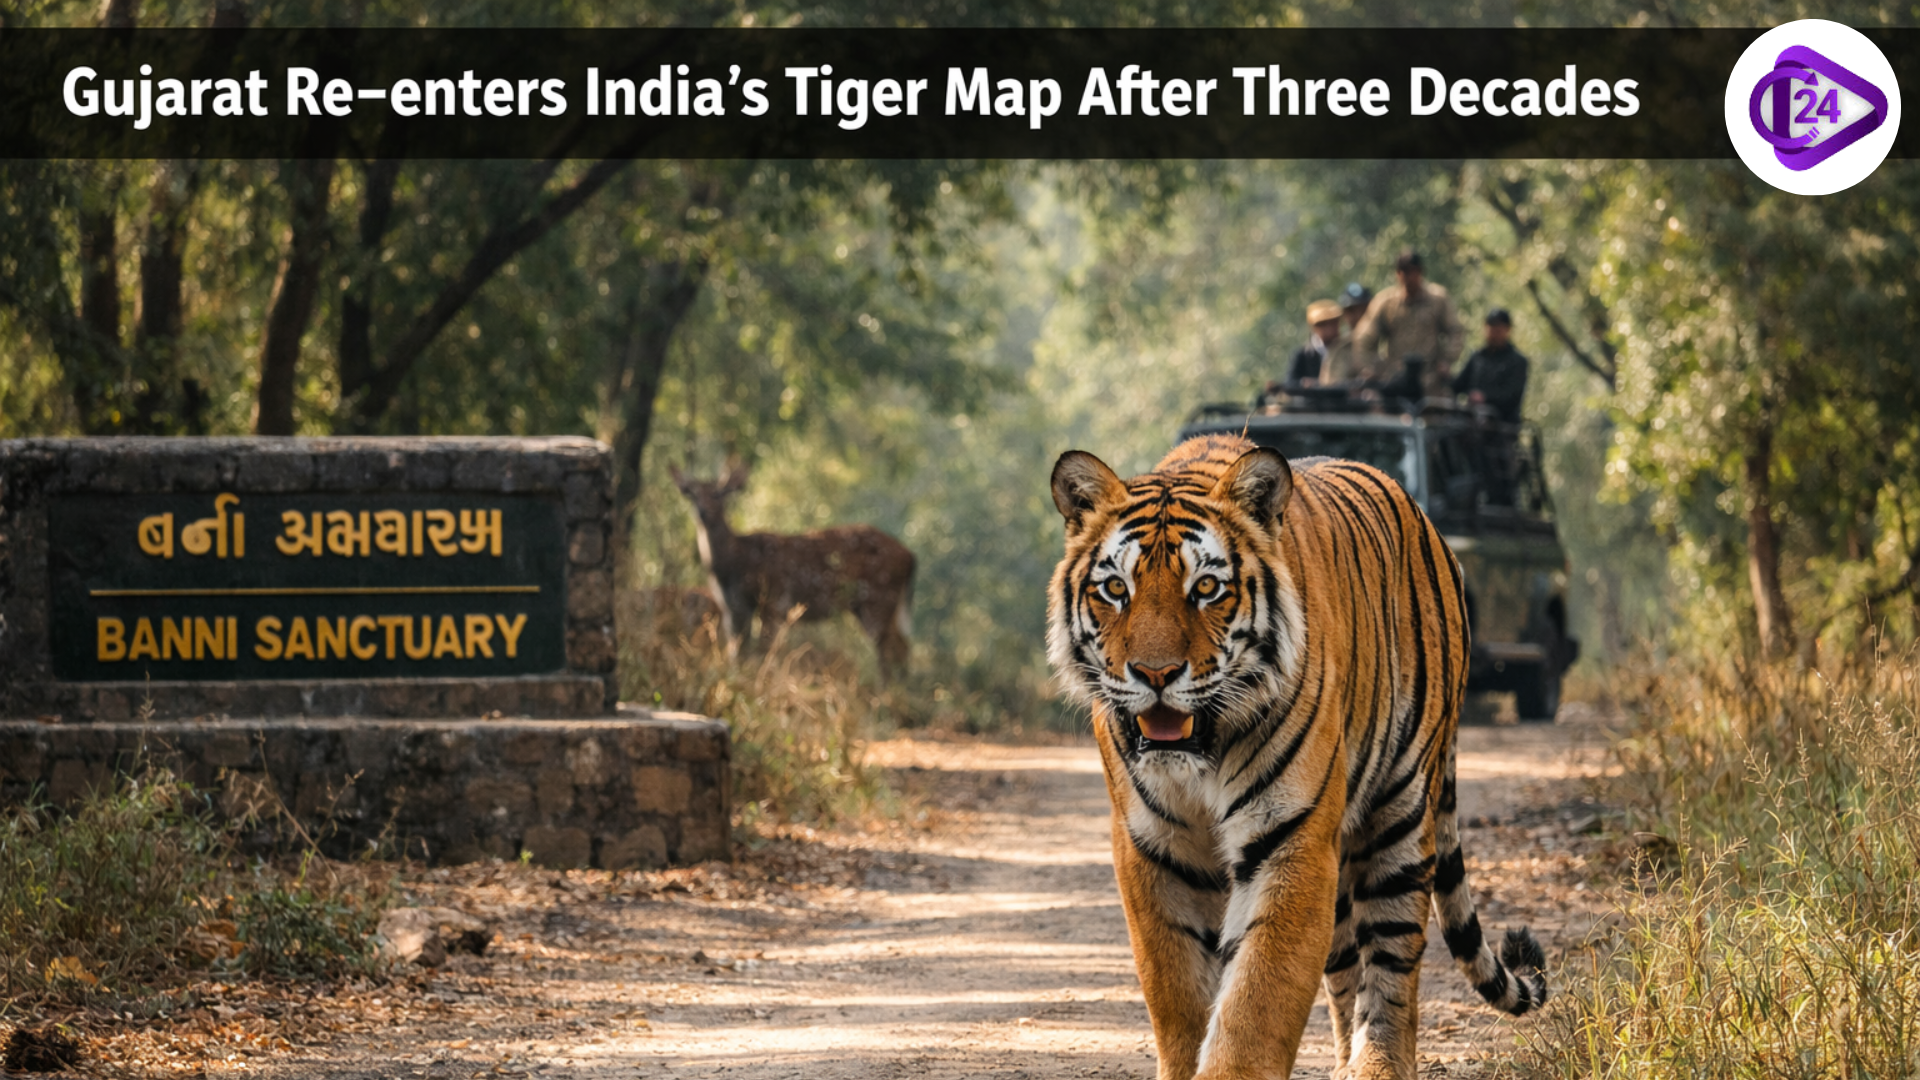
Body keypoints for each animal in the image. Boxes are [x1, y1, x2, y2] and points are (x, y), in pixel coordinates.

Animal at [1047, 433, 1547, 1080]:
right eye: (1115, 589)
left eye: (1205, 589)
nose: (1155, 674)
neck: (1200, 755)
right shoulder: (1153, 847)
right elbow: (1177, 993)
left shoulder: (1291, 840)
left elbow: (1257, 999)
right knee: (1344, 966)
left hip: (1401, 814)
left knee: (1391, 965)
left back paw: (1377, 1064)